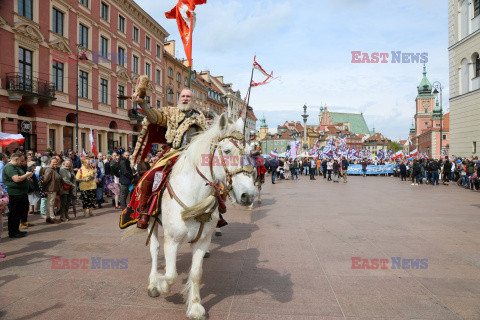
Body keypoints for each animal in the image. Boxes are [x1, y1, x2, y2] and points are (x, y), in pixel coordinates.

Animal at [141, 114, 256, 318]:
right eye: (226, 150)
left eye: (250, 152)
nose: (248, 195)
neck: (194, 196)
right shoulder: (171, 240)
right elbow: (171, 275)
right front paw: (162, 285)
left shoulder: (202, 241)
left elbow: (195, 274)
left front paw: (195, 307)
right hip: (151, 222)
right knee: (154, 250)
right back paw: (153, 282)